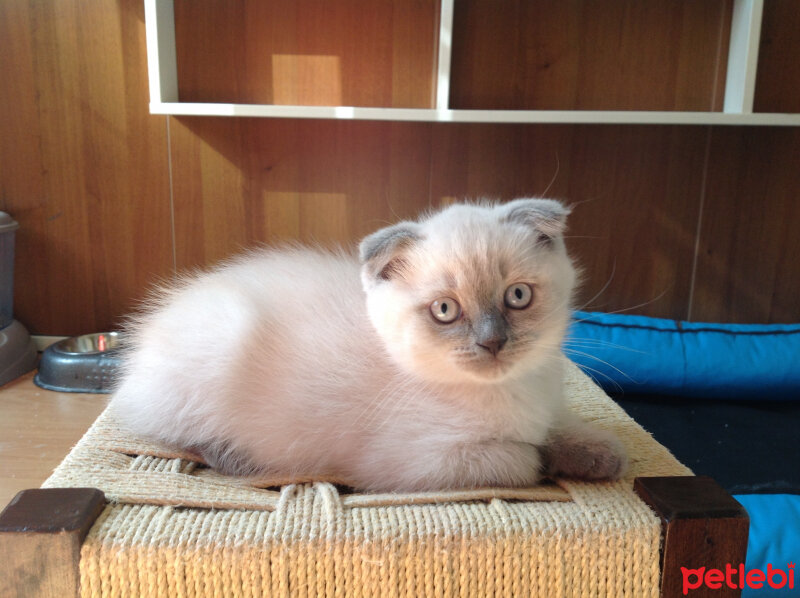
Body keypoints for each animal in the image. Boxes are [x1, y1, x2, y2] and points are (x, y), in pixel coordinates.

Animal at [111, 200, 624, 492]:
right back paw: (235, 457)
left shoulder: (548, 407)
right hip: (221, 342)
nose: (493, 342)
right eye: (445, 310)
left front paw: (599, 454)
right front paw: (547, 460)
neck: (512, 393)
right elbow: (523, 458)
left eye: (517, 296)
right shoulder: (416, 461)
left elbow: (562, 428)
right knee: (175, 431)